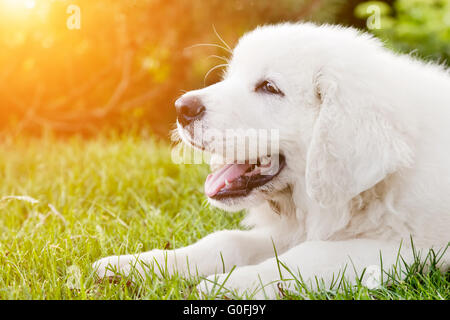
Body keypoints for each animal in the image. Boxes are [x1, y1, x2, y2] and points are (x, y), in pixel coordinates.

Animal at [92, 23, 450, 300]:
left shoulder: (407, 248)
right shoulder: (289, 229)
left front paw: (230, 284)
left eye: (269, 87)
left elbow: (310, 255)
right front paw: (137, 265)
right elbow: (226, 240)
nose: (182, 107)